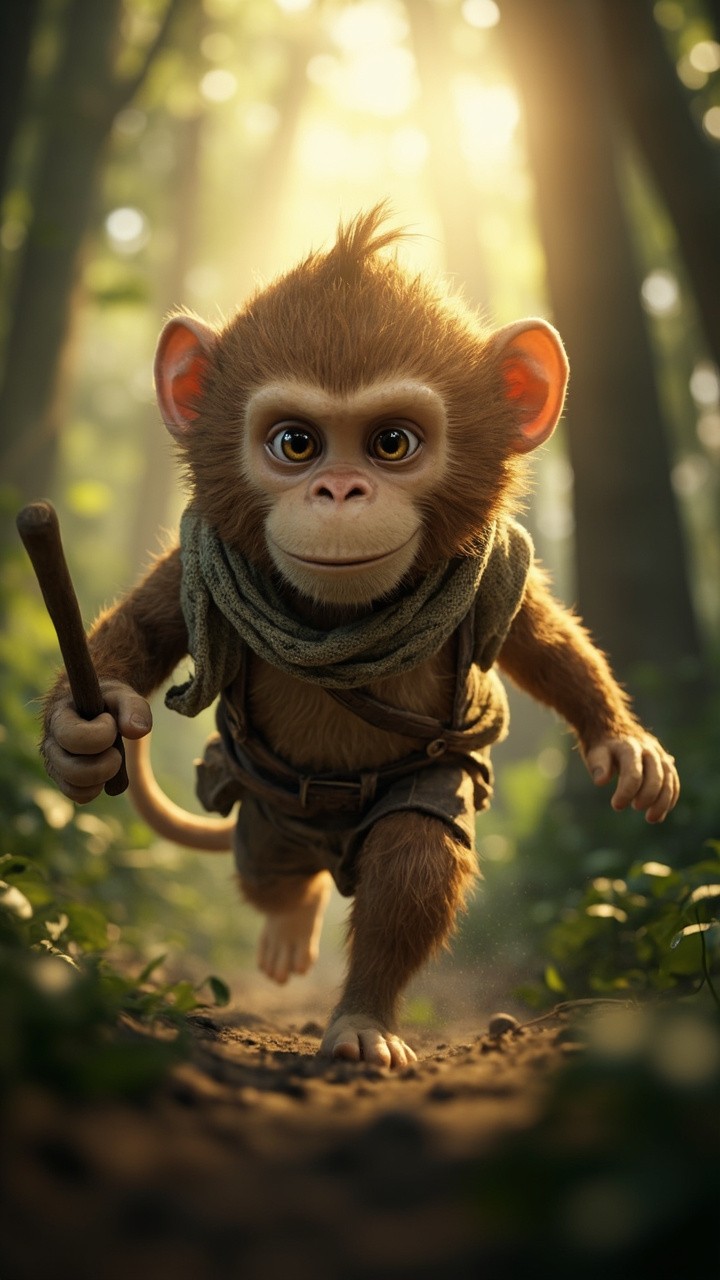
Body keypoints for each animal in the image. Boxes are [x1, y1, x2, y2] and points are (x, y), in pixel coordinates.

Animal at [40, 207, 679, 1069]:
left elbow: (542, 645)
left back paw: (361, 1021)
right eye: (296, 444)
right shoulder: (193, 564)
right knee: (271, 875)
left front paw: (624, 745)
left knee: (410, 853)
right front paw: (80, 737)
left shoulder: (488, 580)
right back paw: (291, 922)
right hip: (266, 820)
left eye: (392, 444)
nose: (340, 490)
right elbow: (142, 627)